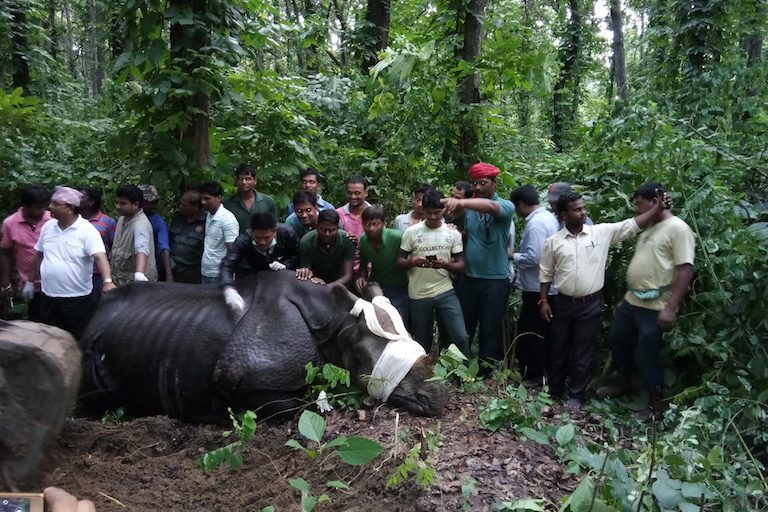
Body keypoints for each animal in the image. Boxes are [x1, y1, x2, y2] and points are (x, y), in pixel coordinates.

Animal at [79, 272, 444, 424]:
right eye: (371, 360)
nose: (438, 399)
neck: (337, 324)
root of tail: (92, 318)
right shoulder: (256, 380)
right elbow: (294, 408)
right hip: (89, 348)